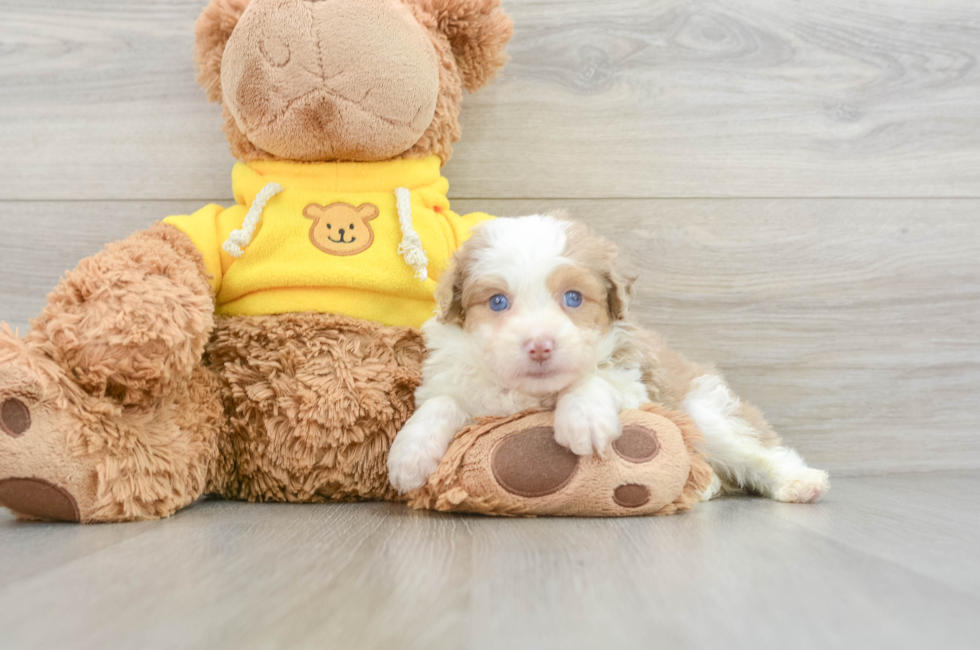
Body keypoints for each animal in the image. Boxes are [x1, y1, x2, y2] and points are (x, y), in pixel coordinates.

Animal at [386, 213, 832, 502]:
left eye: (573, 298)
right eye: (497, 302)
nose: (540, 346)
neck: (533, 394)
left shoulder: (636, 380)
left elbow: (594, 378)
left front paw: (582, 418)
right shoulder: (453, 379)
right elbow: (440, 403)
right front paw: (409, 455)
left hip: (705, 411)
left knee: (757, 450)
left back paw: (799, 482)